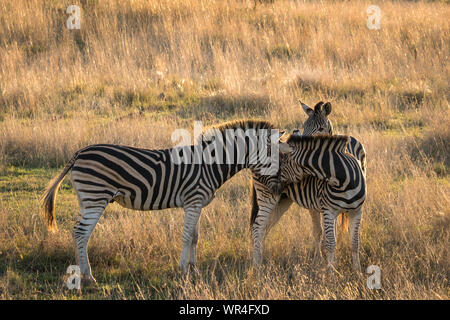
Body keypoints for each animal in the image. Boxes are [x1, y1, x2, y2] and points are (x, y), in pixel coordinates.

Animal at [43, 119, 284, 284]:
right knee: (81, 233)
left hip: (86, 200)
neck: (210, 164)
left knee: (77, 232)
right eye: (277, 159)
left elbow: (195, 237)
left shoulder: (197, 205)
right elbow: (186, 236)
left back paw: (79, 272)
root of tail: (80, 152)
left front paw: (194, 269)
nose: (278, 189)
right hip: (95, 197)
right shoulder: (193, 201)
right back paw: (88, 276)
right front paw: (183, 270)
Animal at [248, 101, 368, 268]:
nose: (299, 138)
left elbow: (351, 240)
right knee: (258, 227)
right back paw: (257, 264)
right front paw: (324, 265)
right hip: (267, 196)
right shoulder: (320, 205)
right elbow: (323, 235)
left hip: (283, 200)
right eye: (304, 126)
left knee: (265, 227)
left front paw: (353, 269)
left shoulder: (354, 210)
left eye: (321, 128)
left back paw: (261, 259)